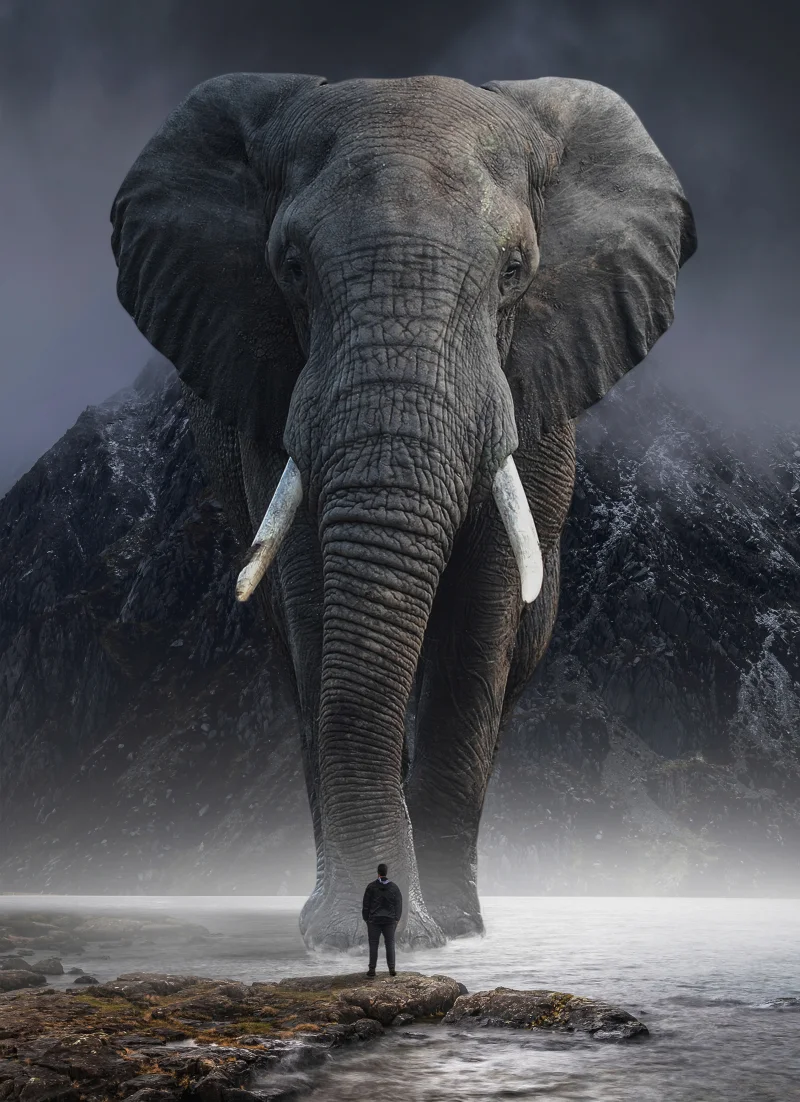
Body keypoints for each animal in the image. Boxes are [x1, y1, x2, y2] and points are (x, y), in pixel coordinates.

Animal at [110, 73, 695, 950]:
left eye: (516, 270)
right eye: (290, 267)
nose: (384, 906)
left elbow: (484, 610)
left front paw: (449, 930)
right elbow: (315, 594)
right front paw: (351, 936)